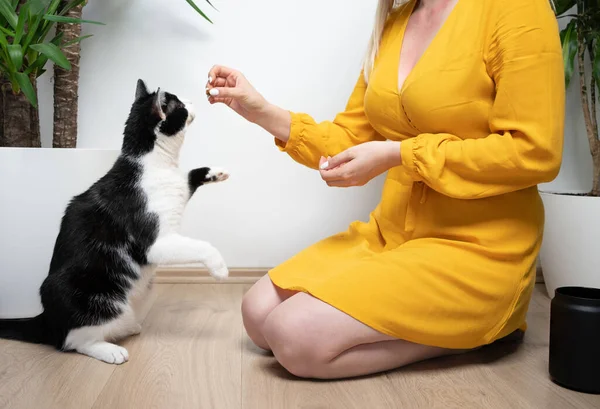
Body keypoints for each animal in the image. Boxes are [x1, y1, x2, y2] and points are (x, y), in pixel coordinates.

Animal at [0, 79, 229, 364]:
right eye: (179, 104)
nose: (192, 100)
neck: (157, 163)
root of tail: (46, 319)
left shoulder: (178, 187)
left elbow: (188, 177)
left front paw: (215, 172)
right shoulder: (155, 243)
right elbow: (202, 246)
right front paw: (219, 268)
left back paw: (128, 327)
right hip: (95, 298)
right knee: (72, 341)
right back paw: (109, 349)